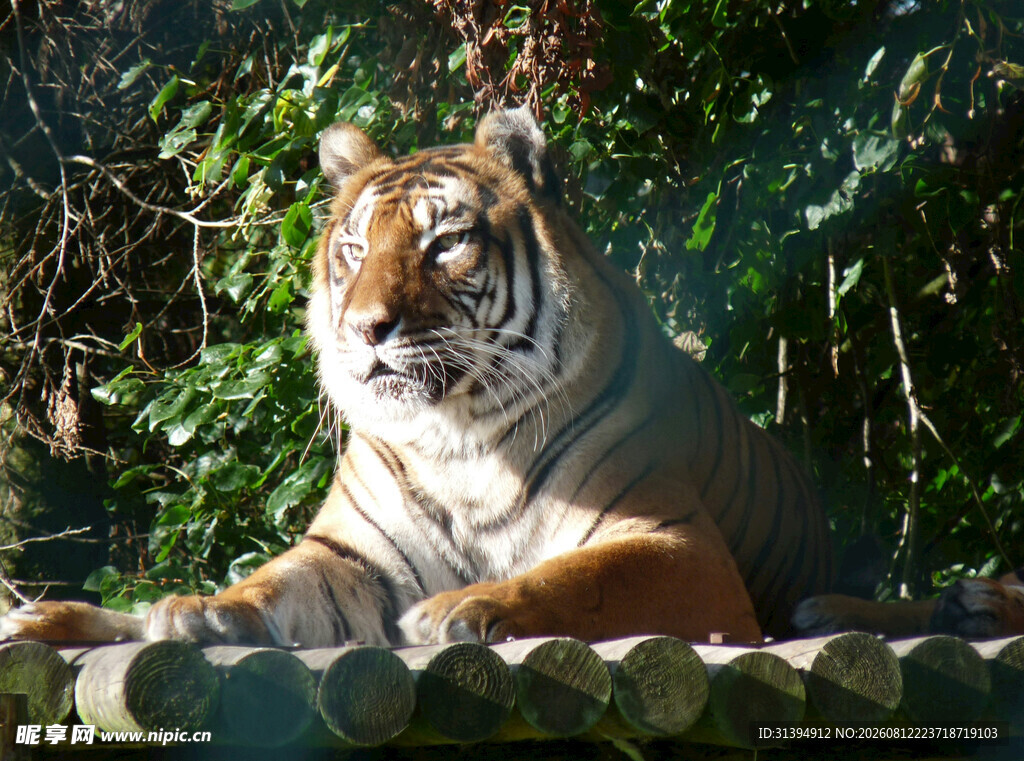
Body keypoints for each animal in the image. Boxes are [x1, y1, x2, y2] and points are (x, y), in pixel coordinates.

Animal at [1, 107, 1021, 647]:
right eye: (356, 249)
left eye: (444, 244)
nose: (367, 328)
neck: (456, 438)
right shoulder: (349, 554)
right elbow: (271, 582)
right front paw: (202, 610)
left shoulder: (675, 544)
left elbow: (577, 578)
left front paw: (463, 605)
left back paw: (960, 600)